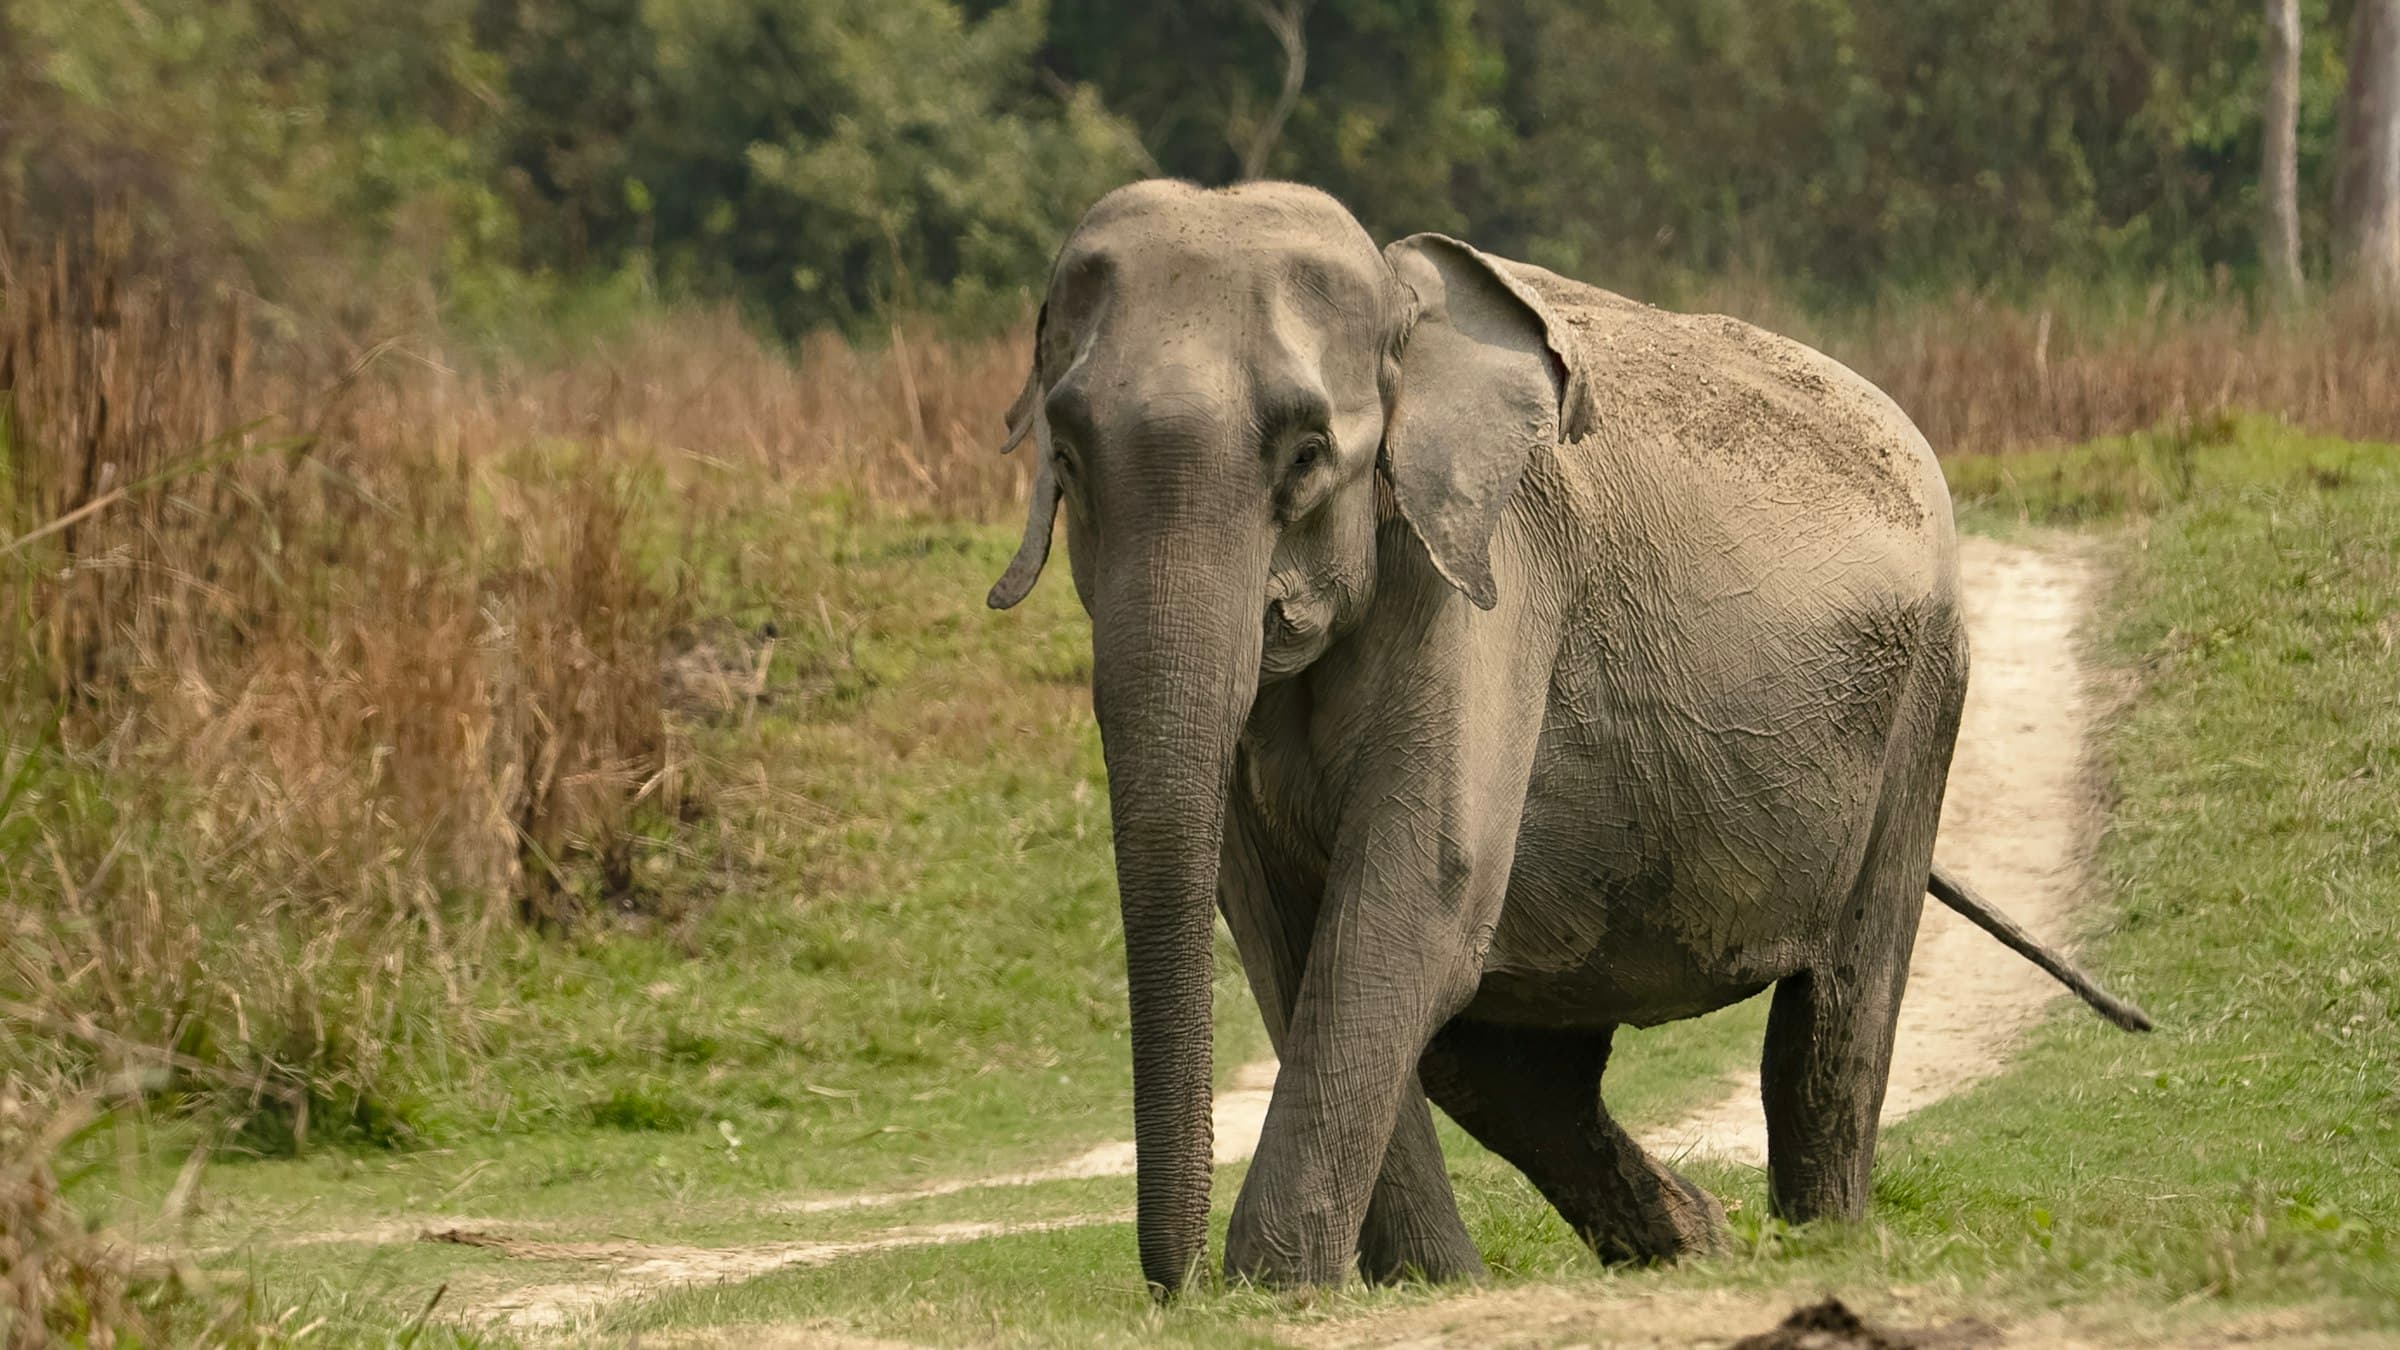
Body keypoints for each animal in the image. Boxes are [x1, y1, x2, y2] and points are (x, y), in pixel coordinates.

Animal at [984, 179, 2151, 1294]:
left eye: (1309, 456)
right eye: (1067, 458)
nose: (1174, 1289)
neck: (1404, 310)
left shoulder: (1490, 572)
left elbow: (1417, 890)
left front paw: (1283, 1290)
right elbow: (1283, 925)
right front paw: (1422, 1287)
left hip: (1924, 704)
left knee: (1833, 1018)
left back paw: (1816, 1242)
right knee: (1501, 1063)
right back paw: (1695, 1242)